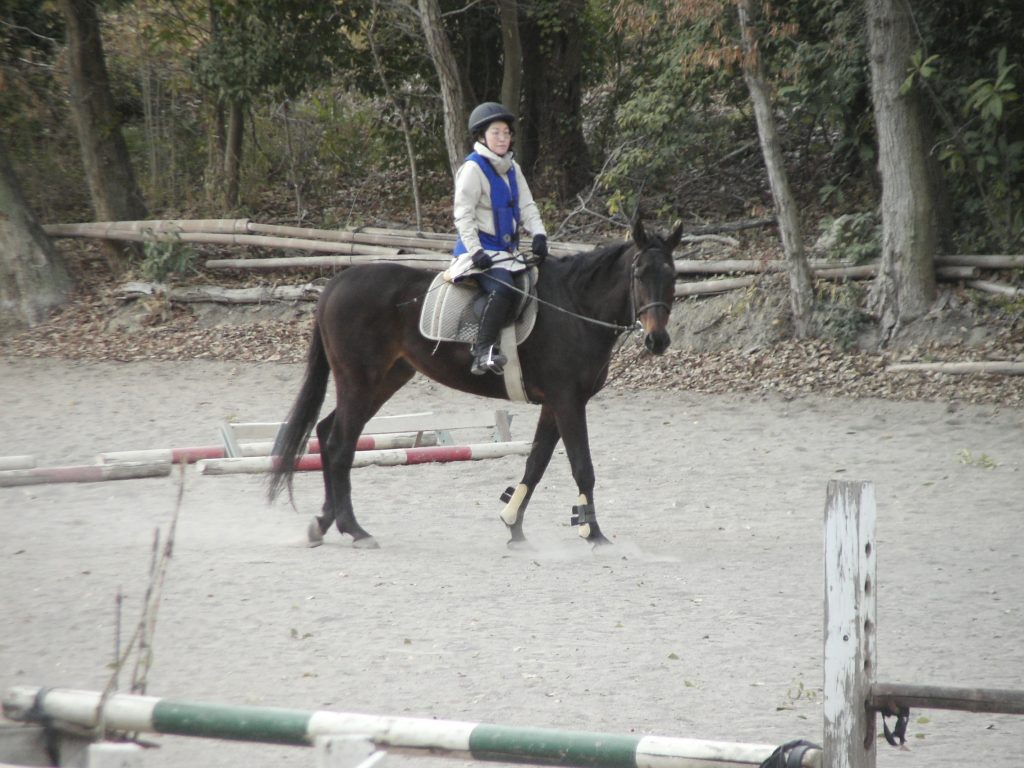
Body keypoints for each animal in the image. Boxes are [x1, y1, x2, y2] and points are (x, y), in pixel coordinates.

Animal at [267, 218, 684, 549]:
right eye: (639, 275)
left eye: (672, 276)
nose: (657, 341)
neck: (575, 307)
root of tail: (337, 282)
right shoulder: (568, 400)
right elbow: (582, 466)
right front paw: (594, 535)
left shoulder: (555, 403)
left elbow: (536, 463)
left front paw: (514, 527)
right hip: (359, 380)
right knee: (340, 444)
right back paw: (354, 529)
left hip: (383, 381)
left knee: (328, 433)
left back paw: (323, 523)